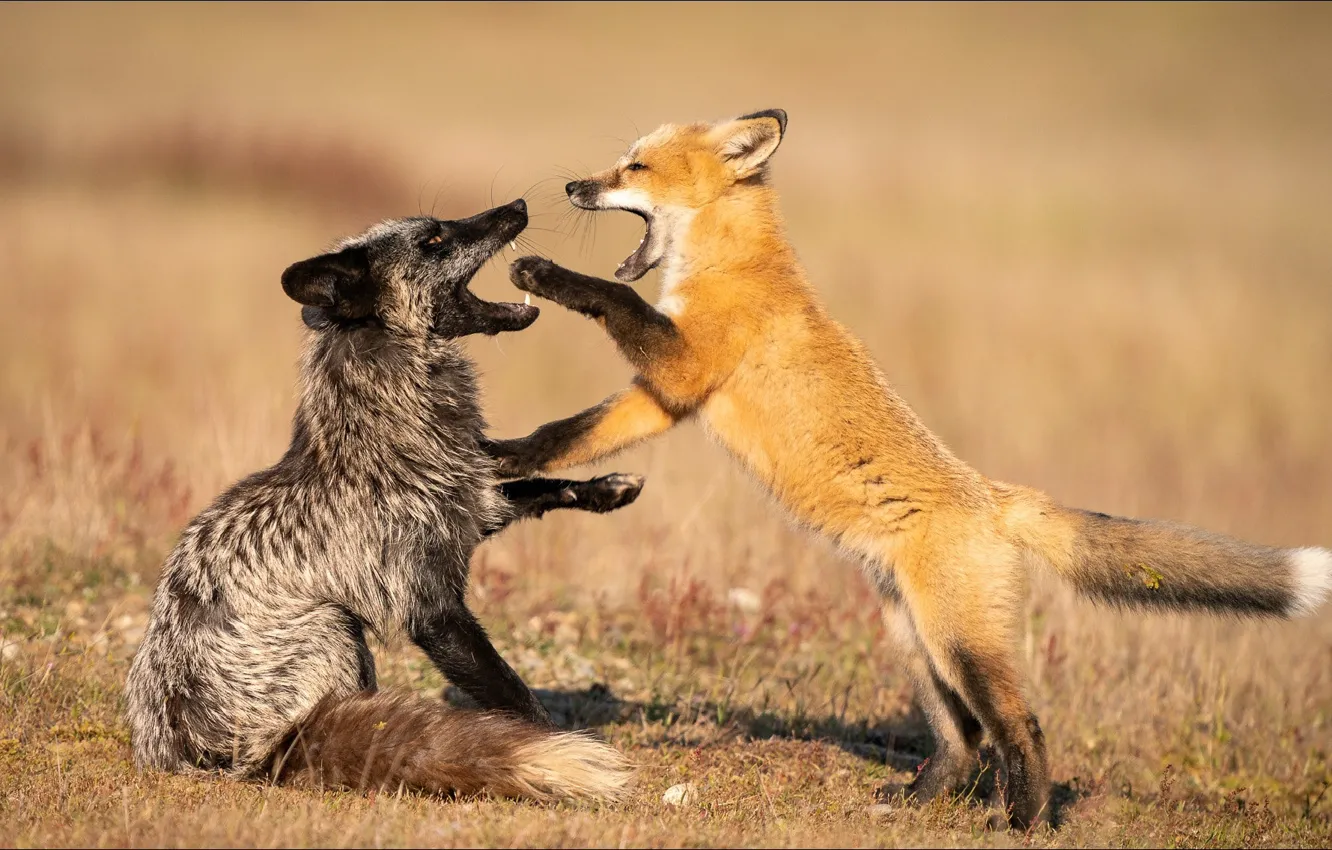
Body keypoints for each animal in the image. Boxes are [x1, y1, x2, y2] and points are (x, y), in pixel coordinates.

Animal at [124, 199, 642, 803]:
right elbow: (516, 697)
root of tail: (189, 755)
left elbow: (535, 487)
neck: (386, 436)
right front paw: (557, 745)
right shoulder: (428, 603)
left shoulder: (469, 503)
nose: (517, 206)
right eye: (434, 241)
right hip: (335, 625)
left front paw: (608, 489)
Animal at [486, 110, 1332, 829]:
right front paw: (505, 457)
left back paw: (1024, 821)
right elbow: (570, 434)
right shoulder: (664, 397)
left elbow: (611, 299)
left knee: (1020, 725)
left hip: (961, 642)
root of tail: (997, 497)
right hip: (914, 638)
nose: (573, 186)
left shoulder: (684, 365)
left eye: (635, 165)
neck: (733, 264)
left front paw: (543, 272)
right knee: (962, 739)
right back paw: (918, 801)